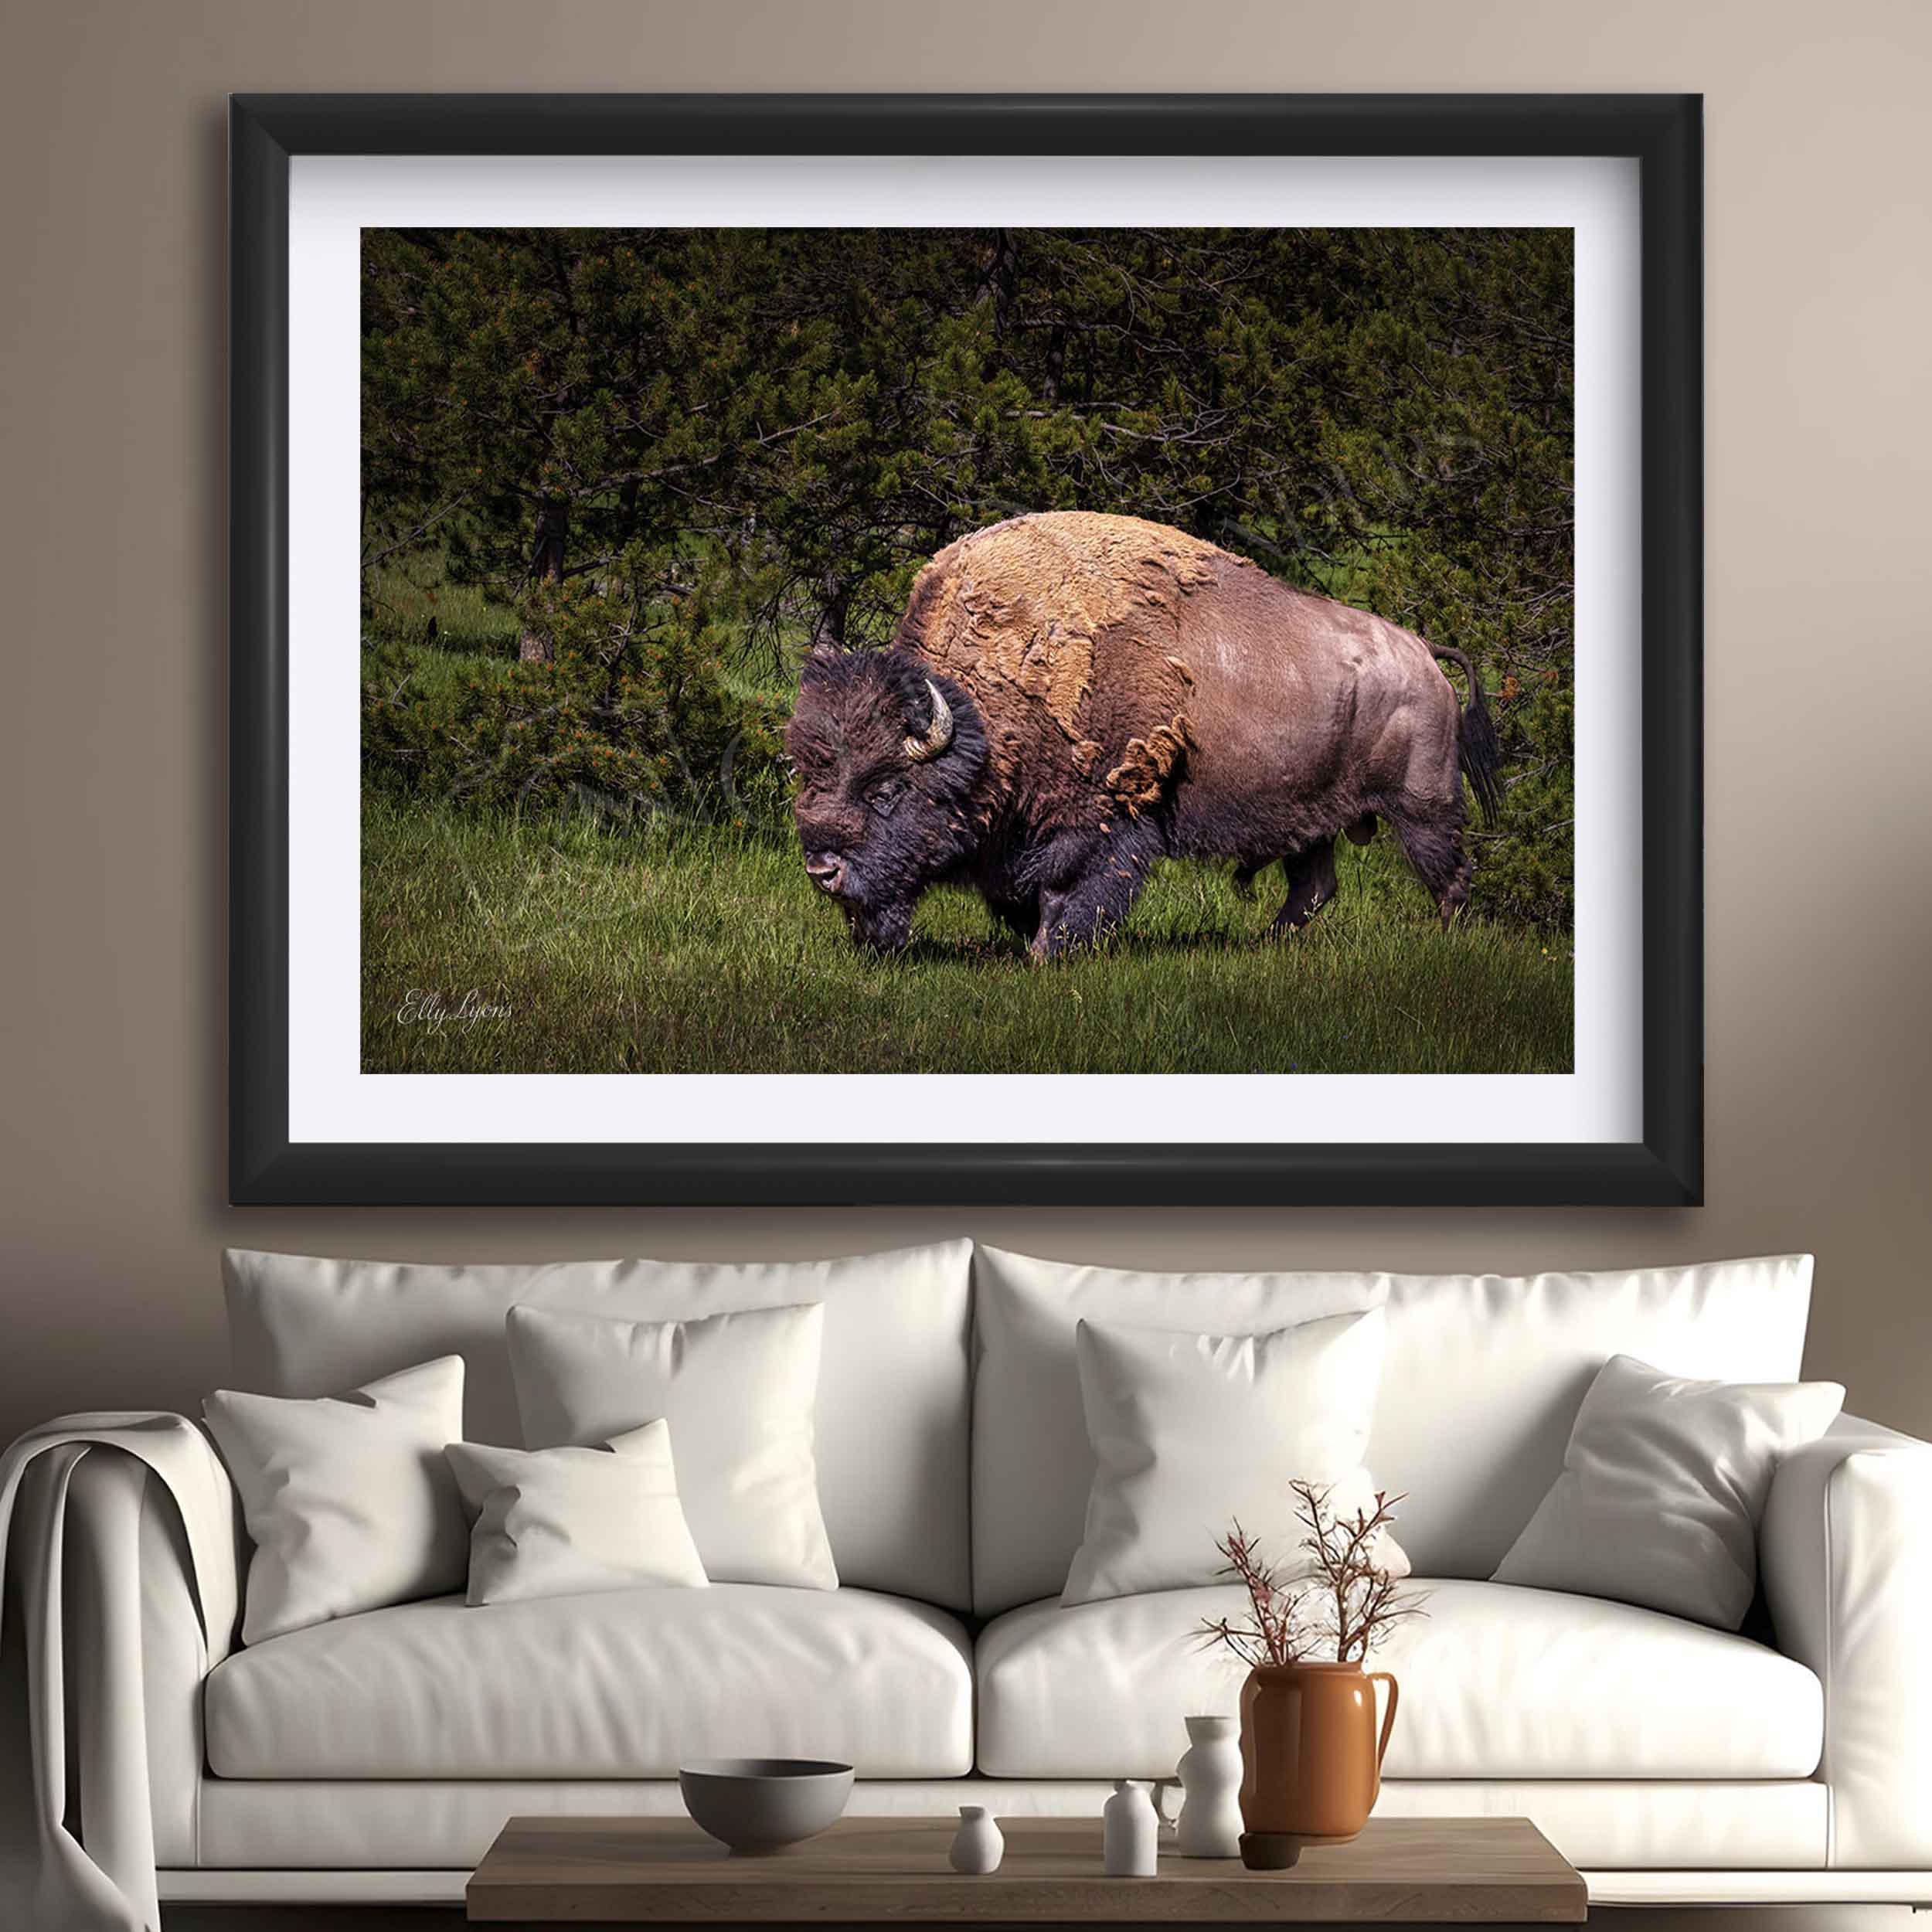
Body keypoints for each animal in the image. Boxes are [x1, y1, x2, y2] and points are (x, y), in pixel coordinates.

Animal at [786, 511, 1501, 960]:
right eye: (810, 775)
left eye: (886, 790)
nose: (821, 869)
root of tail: (1423, 652)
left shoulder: (1102, 823)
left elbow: (1073, 892)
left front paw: (1045, 954)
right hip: (1311, 818)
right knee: (1314, 886)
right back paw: (1266, 944)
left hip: (1422, 807)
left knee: (1448, 874)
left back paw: (1448, 940)